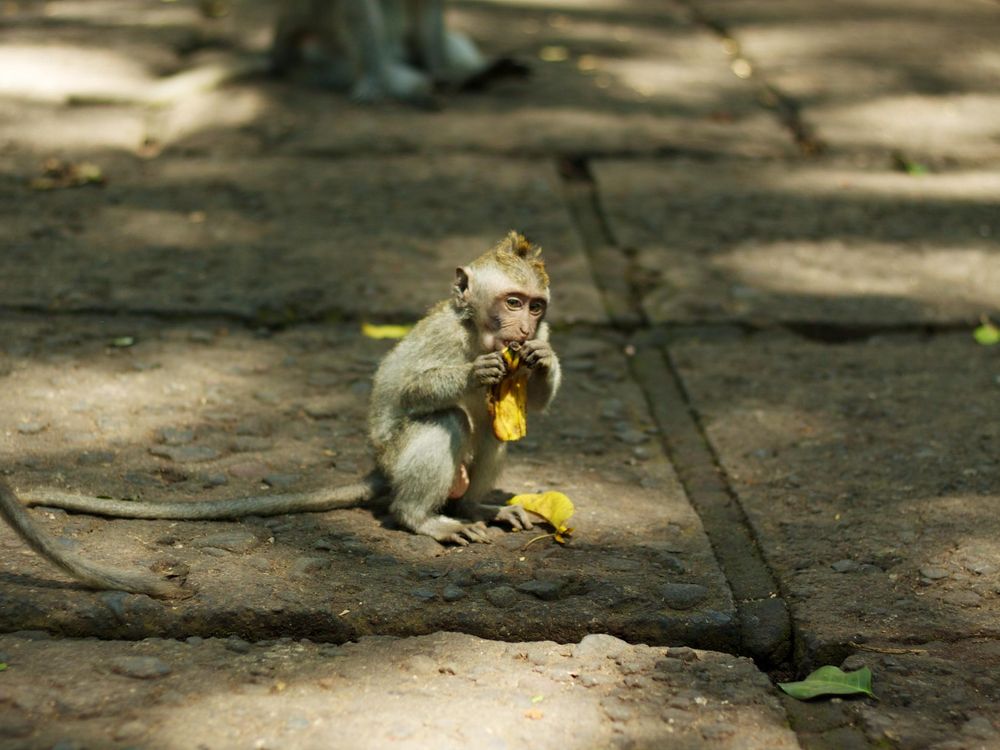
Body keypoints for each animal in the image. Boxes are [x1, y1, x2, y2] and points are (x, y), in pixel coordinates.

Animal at [0, 232, 564, 596]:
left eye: (536, 306)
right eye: (512, 301)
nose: (523, 330)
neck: (480, 335)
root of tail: (380, 471)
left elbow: (530, 403)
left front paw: (542, 363)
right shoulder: (445, 336)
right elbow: (404, 387)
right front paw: (474, 374)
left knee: (494, 431)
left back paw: (474, 507)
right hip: (397, 457)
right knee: (449, 421)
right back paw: (423, 519)